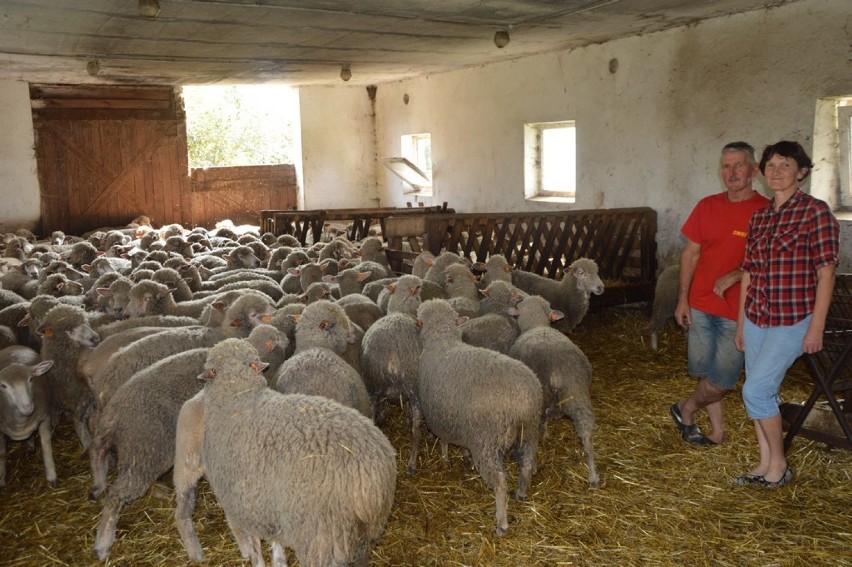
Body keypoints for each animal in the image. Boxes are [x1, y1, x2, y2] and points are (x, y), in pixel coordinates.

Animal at [412, 302, 544, 536]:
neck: (443, 341)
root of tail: (523, 400)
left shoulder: (435, 410)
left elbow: (442, 438)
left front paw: (445, 458)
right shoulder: (451, 416)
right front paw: (460, 457)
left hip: (486, 441)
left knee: (500, 481)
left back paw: (501, 522)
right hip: (529, 432)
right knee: (527, 464)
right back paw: (520, 493)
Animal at [510, 292, 604, 488]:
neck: (537, 325)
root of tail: (555, 371)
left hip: (537, 403)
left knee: (533, 436)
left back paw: (532, 468)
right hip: (577, 394)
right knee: (586, 432)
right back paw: (593, 476)